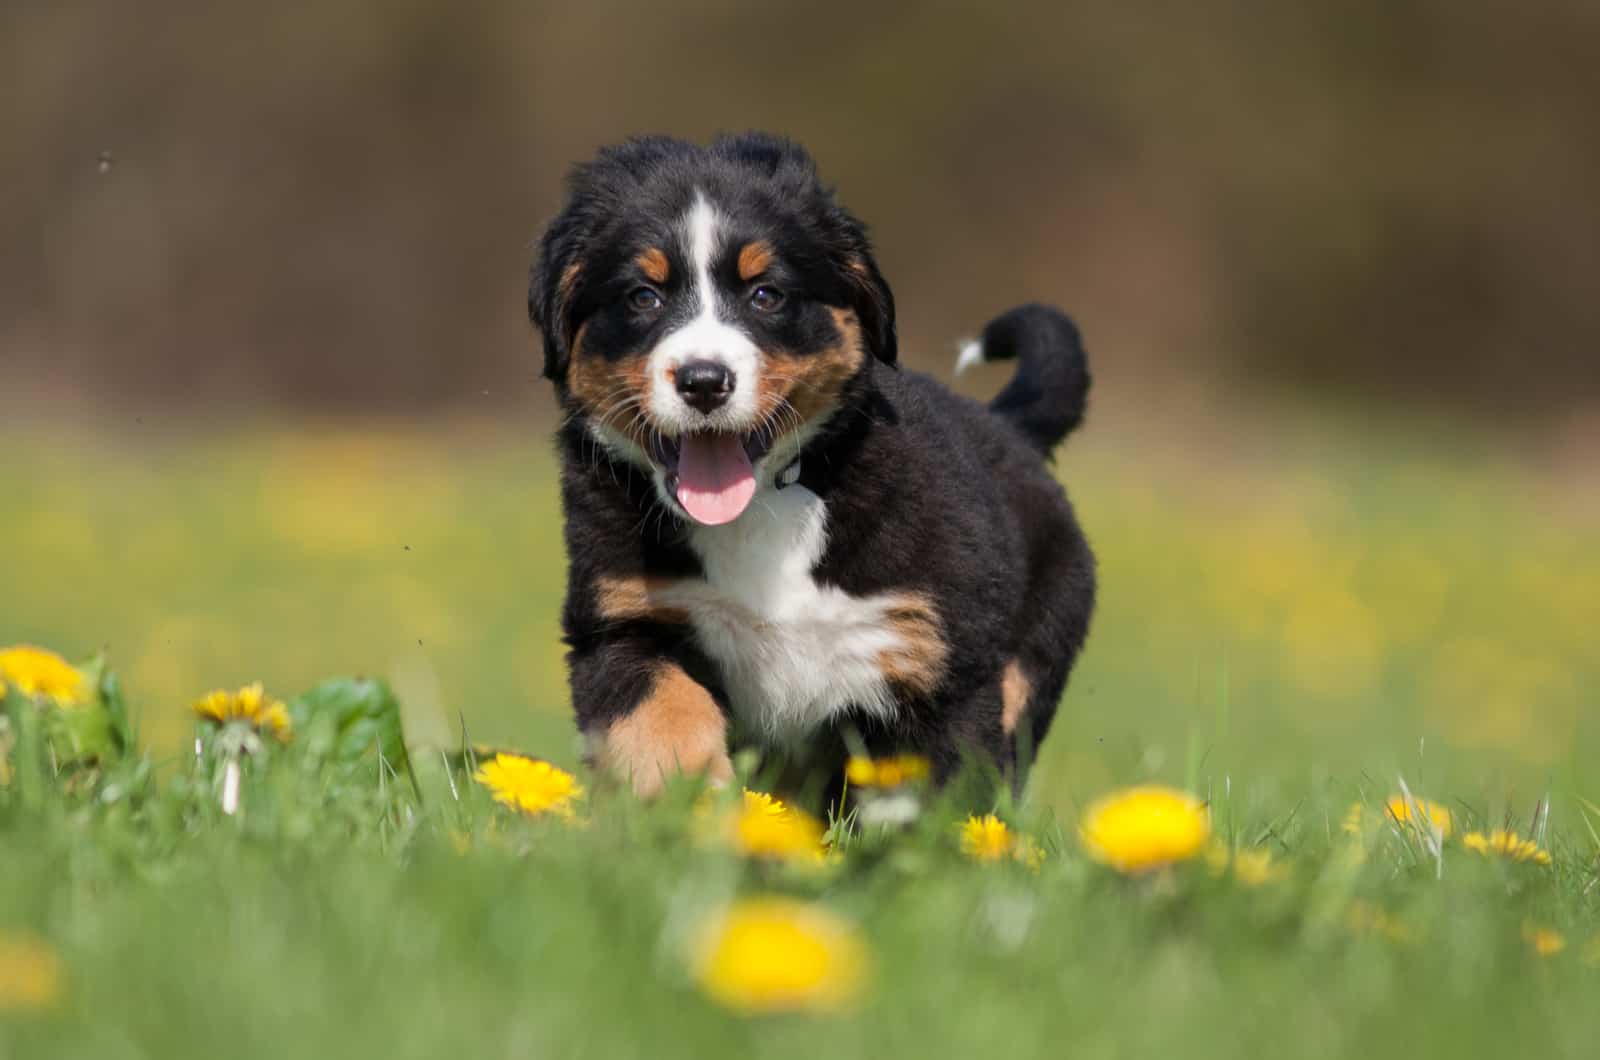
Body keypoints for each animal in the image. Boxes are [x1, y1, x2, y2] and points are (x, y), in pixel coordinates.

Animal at [531, 132, 1094, 807]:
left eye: (765, 295)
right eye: (644, 297)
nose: (704, 380)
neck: (759, 510)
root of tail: (1009, 427)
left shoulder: (936, 659)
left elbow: (931, 795)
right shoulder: (622, 620)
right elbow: (659, 718)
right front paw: (693, 804)